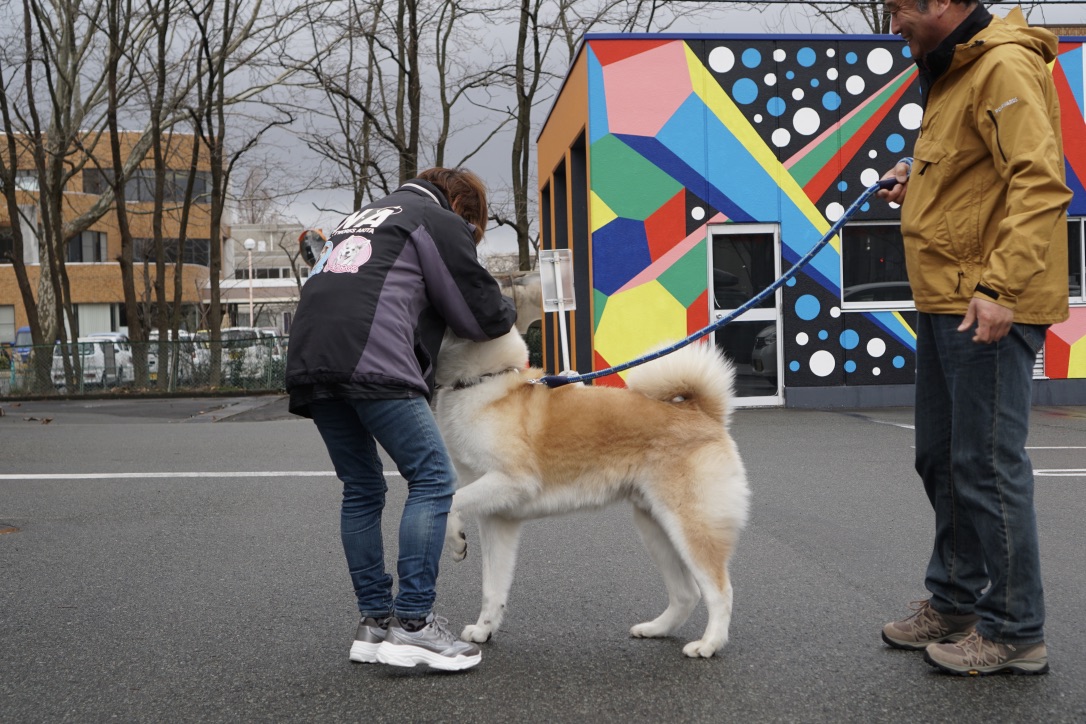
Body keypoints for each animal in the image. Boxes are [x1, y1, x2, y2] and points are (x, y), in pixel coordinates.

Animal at [432, 332, 747, 659]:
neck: (482, 382)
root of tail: (704, 413)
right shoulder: (497, 517)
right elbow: (493, 588)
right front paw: (485, 629)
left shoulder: (513, 482)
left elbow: (449, 500)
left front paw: (455, 541)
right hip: (656, 528)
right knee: (686, 594)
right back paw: (655, 629)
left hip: (690, 527)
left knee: (720, 591)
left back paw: (709, 644)